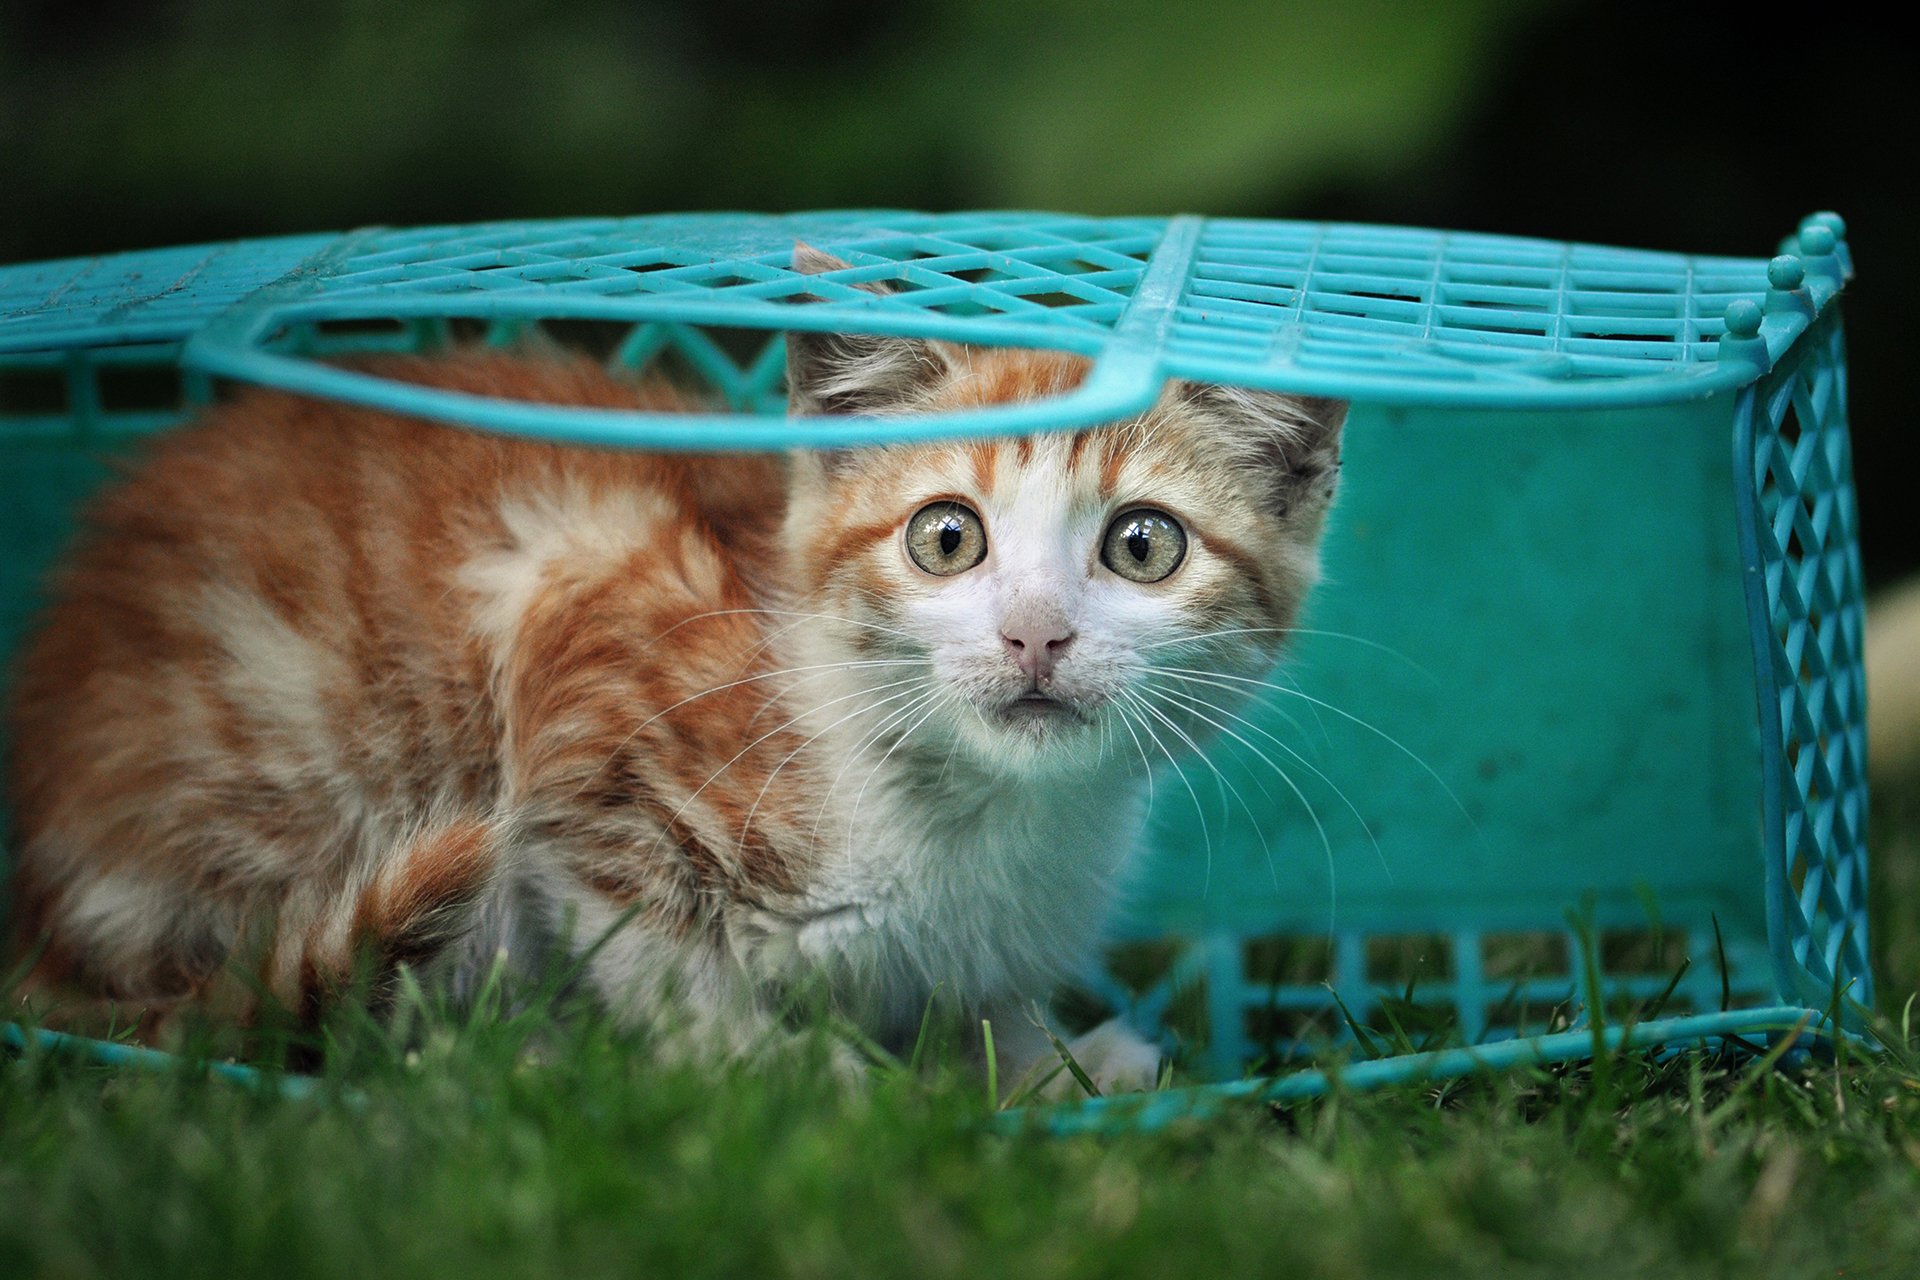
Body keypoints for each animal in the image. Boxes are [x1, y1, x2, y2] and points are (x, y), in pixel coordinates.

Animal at [3, 247, 1351, 1090]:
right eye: (946, 536)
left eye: (1143, 545)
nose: (1034, 634)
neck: (974, 816)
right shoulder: (578, 631)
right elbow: (650, 946)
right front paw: (798, 1078)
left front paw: (1049, 1059)